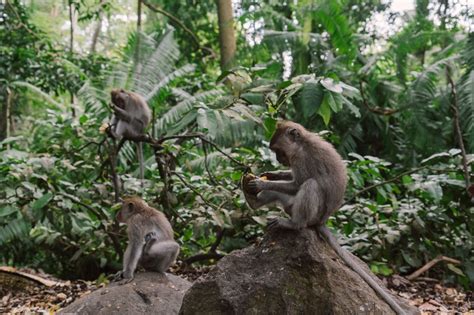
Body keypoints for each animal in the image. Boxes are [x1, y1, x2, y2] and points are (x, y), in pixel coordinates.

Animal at [244, 121, 408, 315]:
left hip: (312, 214)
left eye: (278, 150)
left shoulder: (301, 158)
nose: (278, 159)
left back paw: (293, 224)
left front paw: (263, 183)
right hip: (289, 205)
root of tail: (322, 220)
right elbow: (290, 179)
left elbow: (297, 184)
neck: (302, 143)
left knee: (310, 185)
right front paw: (273, 174)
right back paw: (254, 202)